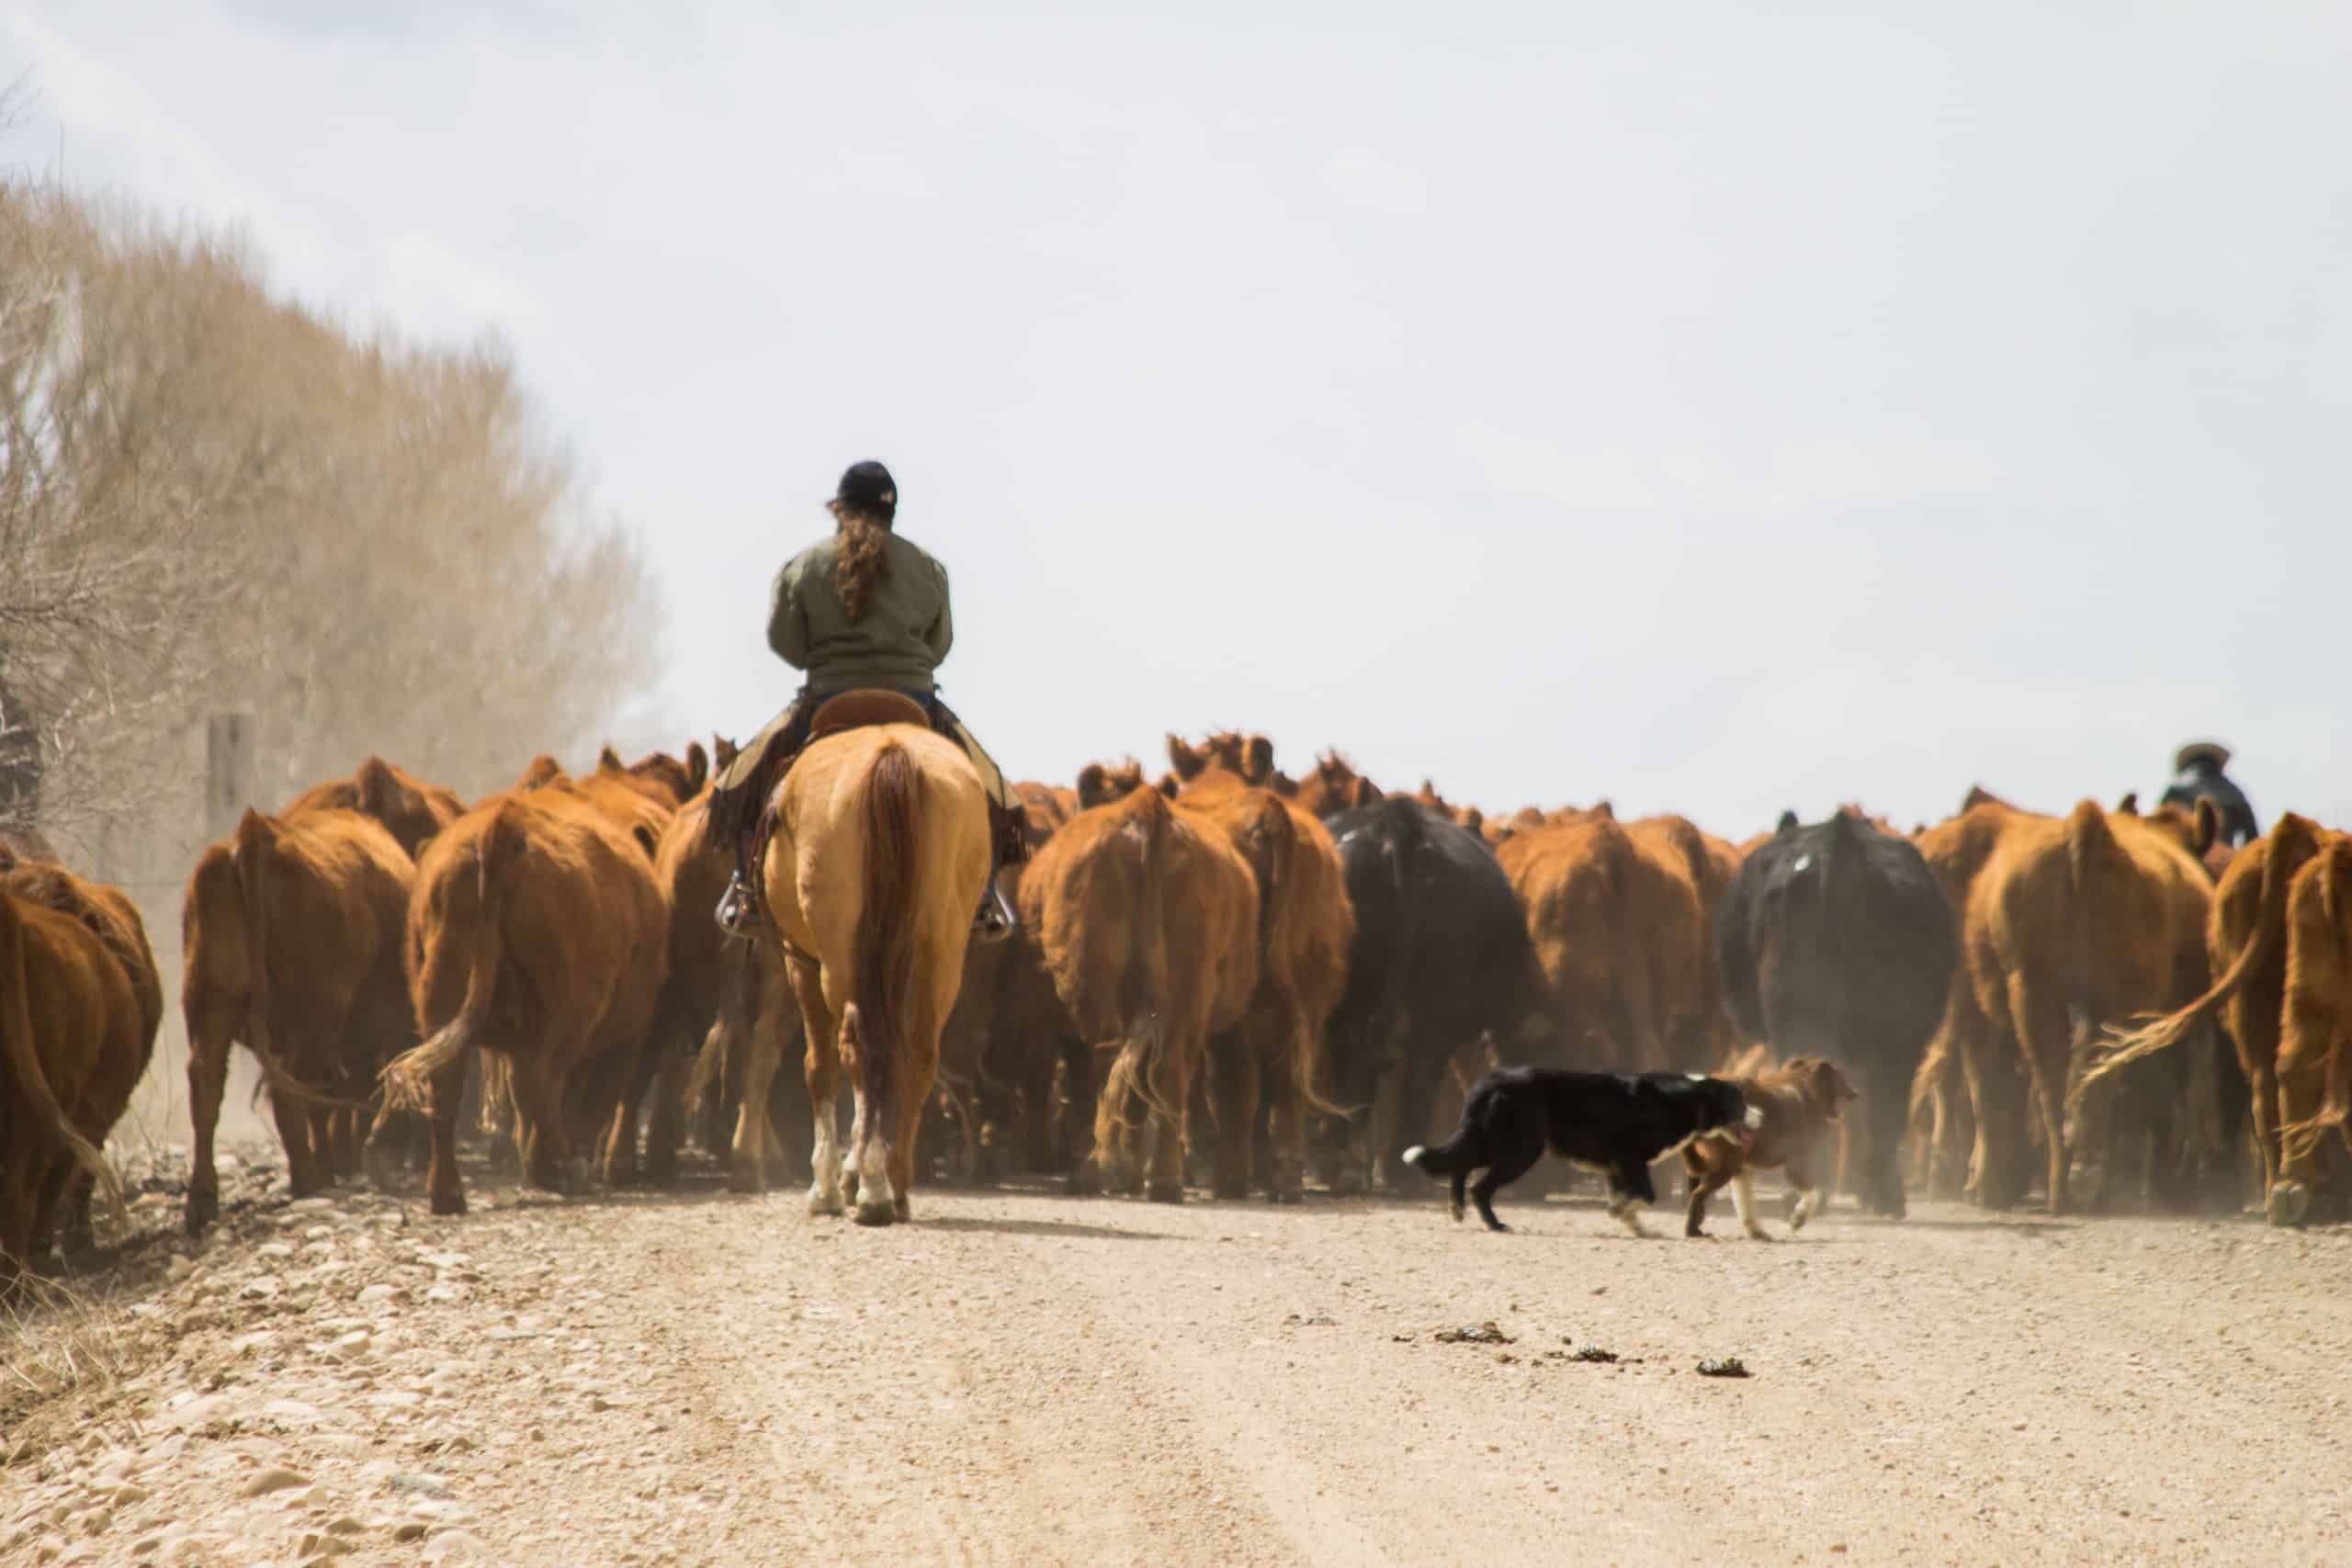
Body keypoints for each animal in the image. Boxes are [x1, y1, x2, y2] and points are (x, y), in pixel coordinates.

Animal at [1019, 767, 1259, 1200]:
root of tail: (1147, 813)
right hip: (1183, 992)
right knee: (1163, 1072)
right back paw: (1159, 1178)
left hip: (1094, 990)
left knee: (1109, 1068)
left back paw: (1106, 1171)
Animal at [1166, 734, 1354, 1201]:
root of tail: (1271, 814)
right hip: (1306, 1001)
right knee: (1287, 1087)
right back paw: (1282, 1177)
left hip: (1239, 1003)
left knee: (1236, 1083)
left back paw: (1231, 1178)